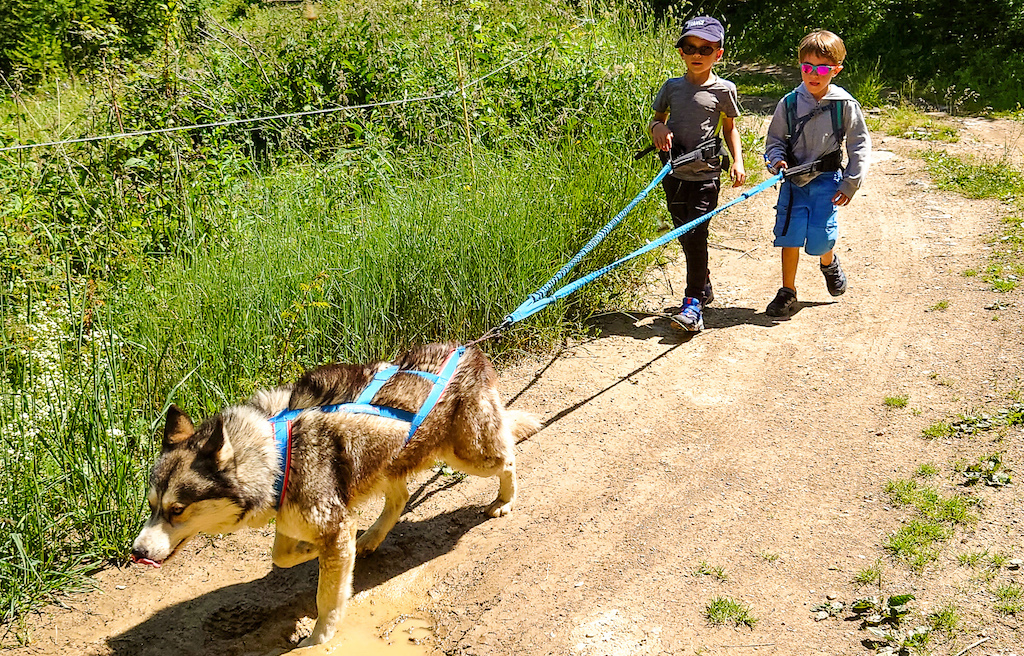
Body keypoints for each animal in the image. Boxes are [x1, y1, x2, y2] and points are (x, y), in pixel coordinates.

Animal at [132, 345, 540, 646]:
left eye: (177, 509)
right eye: (152, 507)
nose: (136, 552)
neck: (278, 449)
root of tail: (469, 349)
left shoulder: (330, 523)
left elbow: (327, 597)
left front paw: (319, 638)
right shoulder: (298, 517)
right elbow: (282, 555)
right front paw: (309, 551)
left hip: (468, 454)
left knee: (508, 457)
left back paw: (505, 500)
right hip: (387, 466)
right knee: (400, 498)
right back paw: (370, 537)